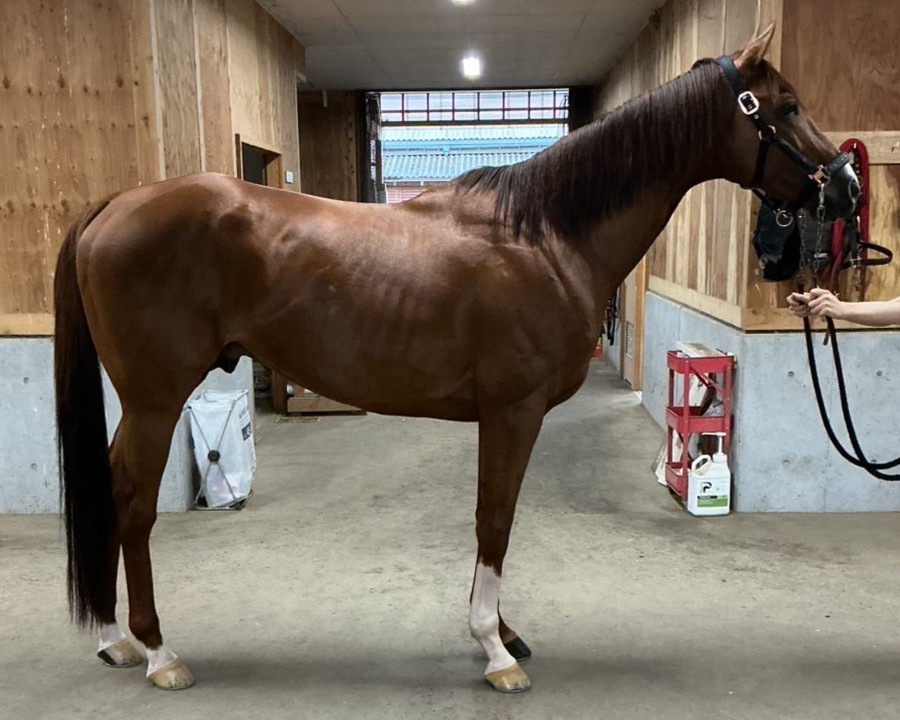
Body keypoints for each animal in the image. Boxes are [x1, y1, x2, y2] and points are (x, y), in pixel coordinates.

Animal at [54, 25, 859, 693]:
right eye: (785, 106)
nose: (847, 186)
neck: (546, 236)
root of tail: (114, 204)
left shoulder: (501, 417)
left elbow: (490, 518)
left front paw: (500, 632)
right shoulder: (513, 412)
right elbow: (494, 519)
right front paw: (495, 651)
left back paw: (114, 639)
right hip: (156, 399)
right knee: (131, 503)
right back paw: (158, 652)